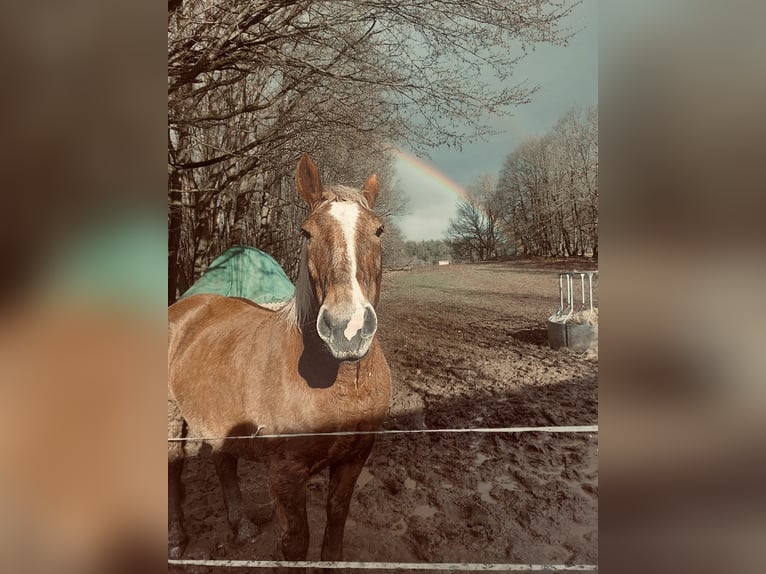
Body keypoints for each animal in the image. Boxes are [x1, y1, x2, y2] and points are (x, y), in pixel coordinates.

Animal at [167, 154, 392, 563]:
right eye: (306, 234)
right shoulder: (285, 475)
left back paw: (241, 527)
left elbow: (335, 525)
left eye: (379, 230)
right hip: (173, 418)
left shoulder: (353, 458)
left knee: (223, 462)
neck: (341, 380)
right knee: (173, 468)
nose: (347, 328)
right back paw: (177, 539)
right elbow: (296, 542)